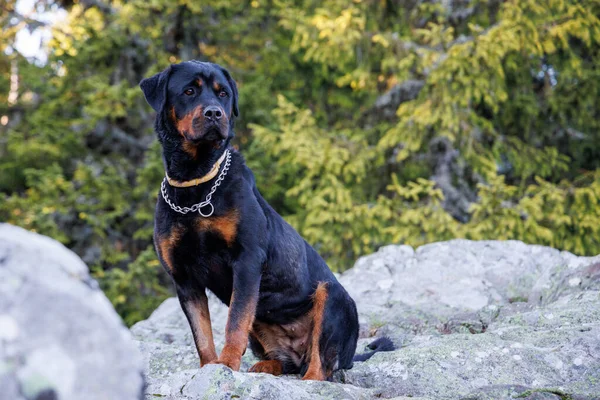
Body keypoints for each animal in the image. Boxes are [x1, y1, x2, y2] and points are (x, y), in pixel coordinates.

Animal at [140, 61, 394, 380]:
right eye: (188, 91)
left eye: (222, 94)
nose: (214, 113)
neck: (196, 182)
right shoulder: (184, 278)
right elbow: (202, 334)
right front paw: (210, 367)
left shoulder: (247, 260)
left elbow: (235, 321)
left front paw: (227, 364)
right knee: (286, 360)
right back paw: (266, 365)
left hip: (332, 295)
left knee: (321, 363)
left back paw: (309, 376)